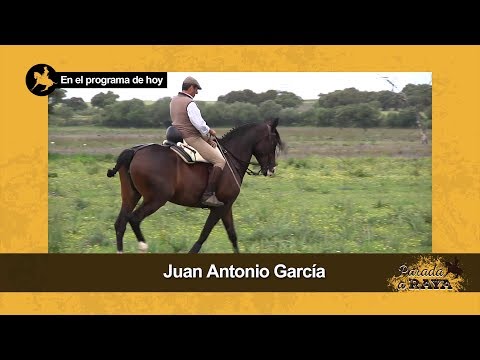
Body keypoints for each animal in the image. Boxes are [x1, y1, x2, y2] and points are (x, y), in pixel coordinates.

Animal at [107, 118, 284, 253]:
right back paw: (143, 246)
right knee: (134, 219)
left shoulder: (226, 207)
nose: (272, 169)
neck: (230, 159)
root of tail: (134, 151)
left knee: (120, 224)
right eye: (273, 141)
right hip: (156, 200)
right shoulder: (220, 208)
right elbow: (204, 234)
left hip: (131, 196)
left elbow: (232, 235)